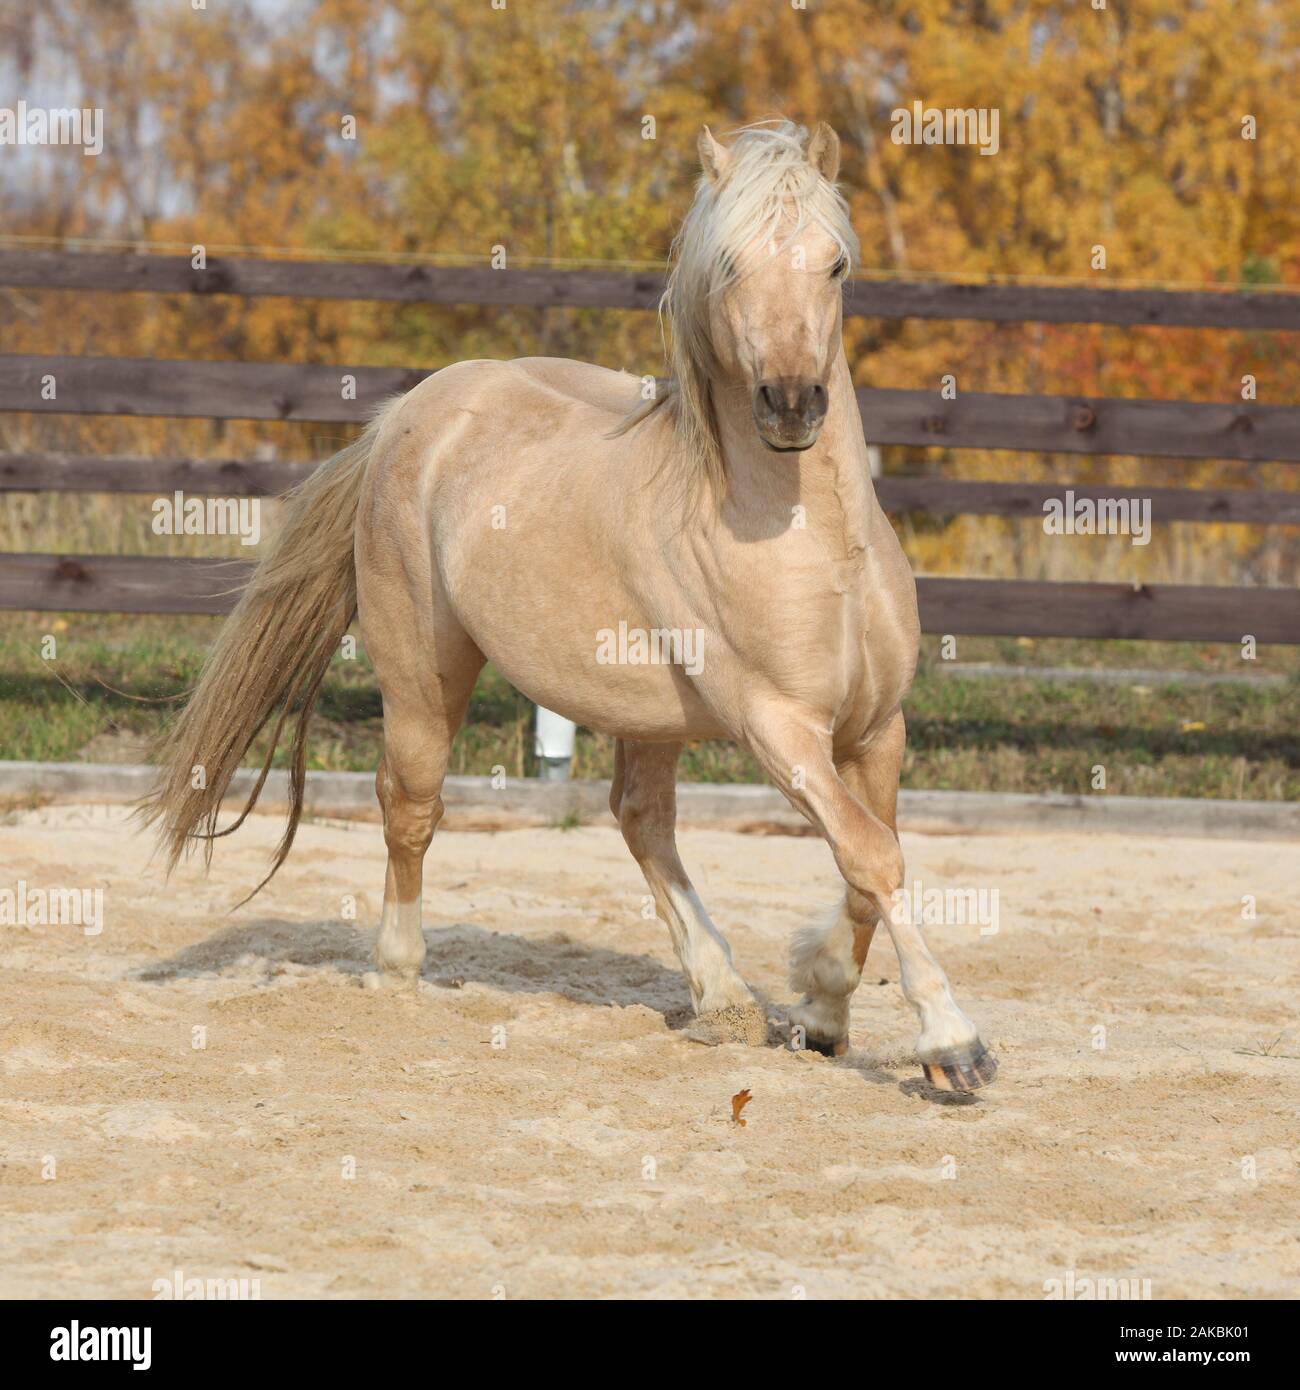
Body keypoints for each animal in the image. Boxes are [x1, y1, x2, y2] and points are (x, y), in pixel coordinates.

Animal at [143, 119, 997, 1093]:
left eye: (836, 264)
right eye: (730, 262)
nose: (790, 404)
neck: (815, 541)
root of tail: (410, 412)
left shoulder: (876, 727)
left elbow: (869, 861)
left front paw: (821, 1011)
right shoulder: (780, 729)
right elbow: (871, 853)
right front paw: (952, 1045)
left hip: (650, 714)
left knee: (640, 820)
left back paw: (723, 1000)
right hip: (423, 678)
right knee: (411, 804)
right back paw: (398, 970)